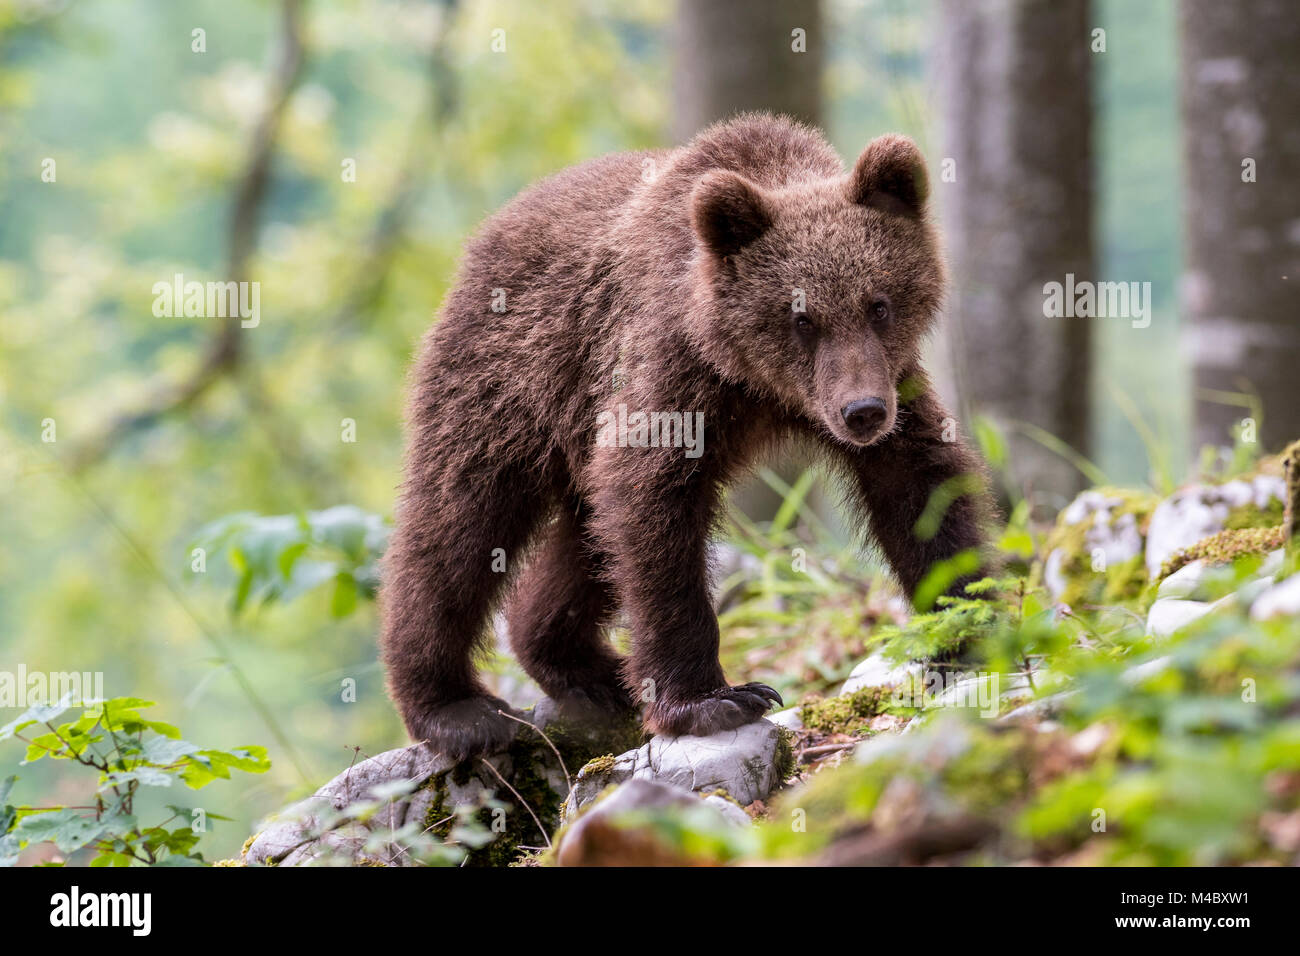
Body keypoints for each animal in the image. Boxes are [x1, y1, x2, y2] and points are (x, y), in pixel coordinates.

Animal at [380, 112, 995, 762]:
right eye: (802, 317)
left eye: (878, 304)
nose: (862, 412)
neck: (756, 383)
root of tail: (487, 233)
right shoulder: (669, 373)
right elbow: (653, 506)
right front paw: (714, 700)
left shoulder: (891, 384)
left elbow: (919, 486)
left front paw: (969, 628)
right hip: (504, 383)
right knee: (459, 527)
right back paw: (454, 707)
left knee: (584, 542)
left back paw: (593, 672)